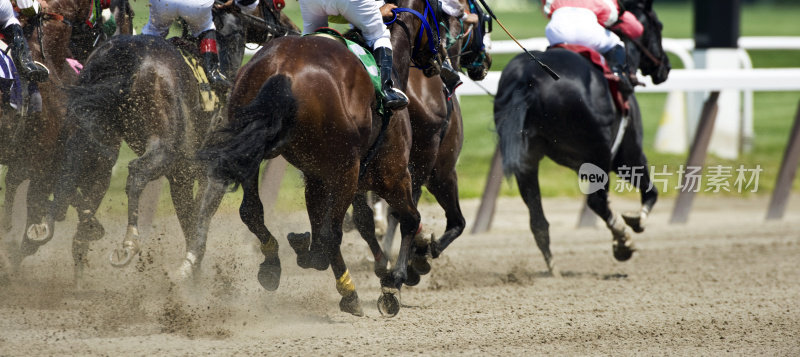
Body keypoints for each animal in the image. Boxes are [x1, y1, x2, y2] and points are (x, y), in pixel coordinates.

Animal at [494, 0, 668, 274]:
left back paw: (553, 268)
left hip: (526, 160)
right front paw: (635, 222)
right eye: (658, 26)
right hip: (599, 154)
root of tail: (529, 79)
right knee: (597, 201)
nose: (666, 67)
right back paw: (623, 243)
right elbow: (651, 192)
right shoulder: (627, 155)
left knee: (537, 219)